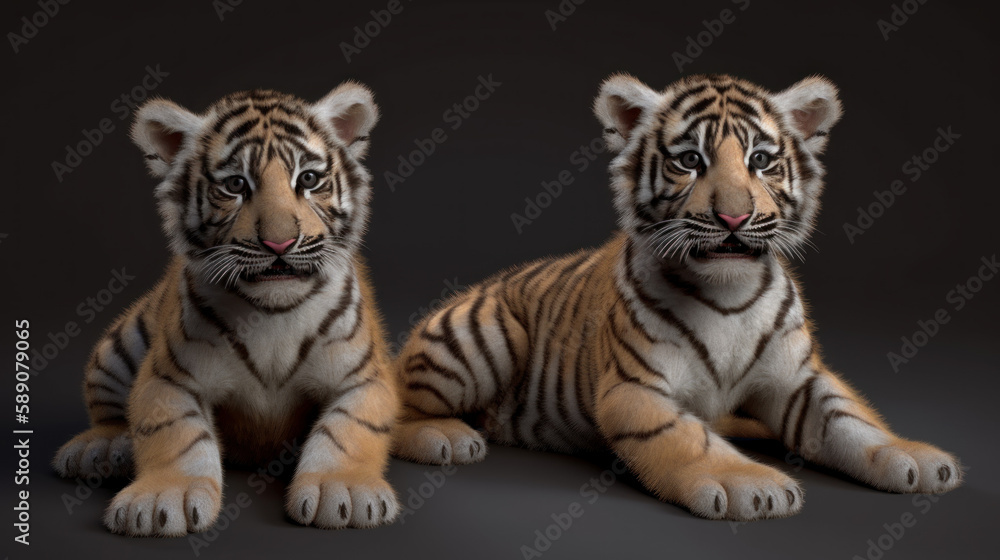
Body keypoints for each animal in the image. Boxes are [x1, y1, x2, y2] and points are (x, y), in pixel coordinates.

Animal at [53, 83, 401, 535]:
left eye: (308, 179)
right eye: (236, 185)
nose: (279, 243)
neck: (275, 315)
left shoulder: (363, 377)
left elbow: (349, 428)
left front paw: (342, 491)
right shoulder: (169, 378)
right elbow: (177, 432)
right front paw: (162, 499)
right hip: (119, 345)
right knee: (109, 409)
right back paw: (102, 447)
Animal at [391, 73, 963, 520]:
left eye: (761, 160)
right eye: (690, 160)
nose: (733, 217)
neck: (732, 295)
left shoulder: (800, 380)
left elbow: (852, 421)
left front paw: (915, 457)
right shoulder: (637, 391)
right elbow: (691, 439)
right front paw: (753, 486)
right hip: (484, 338)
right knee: (399, 407)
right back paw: (448, 438)